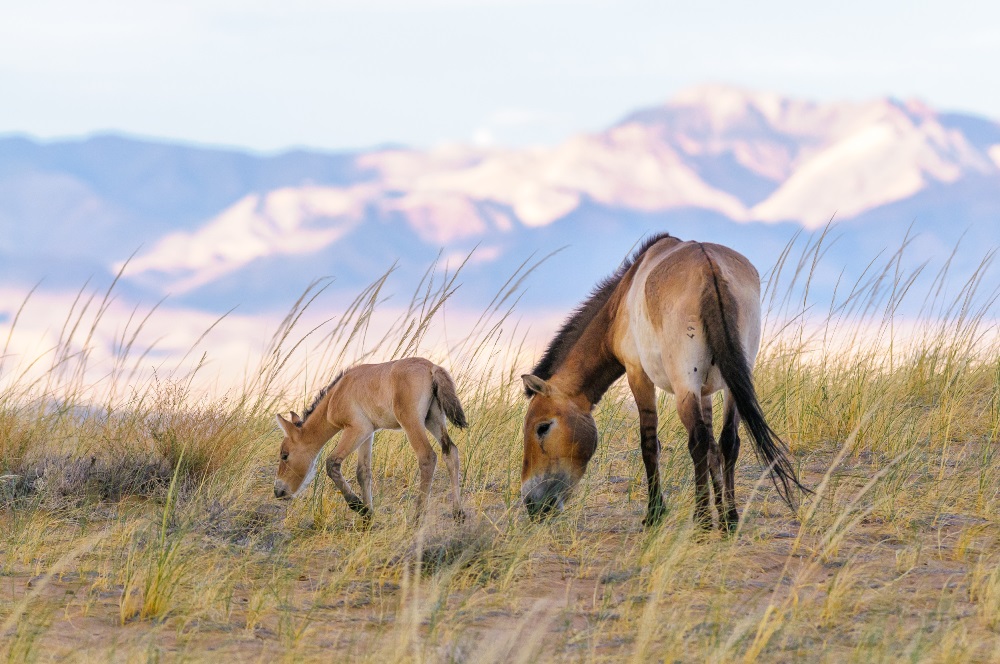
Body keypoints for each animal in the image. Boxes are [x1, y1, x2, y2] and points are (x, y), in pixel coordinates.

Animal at [270, 356, 464, 520]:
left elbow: (332, 463)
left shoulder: (357, 430)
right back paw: (458, 513)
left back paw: (417, 517)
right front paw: (367, 516)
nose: (278, 492)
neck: (337, 394)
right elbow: (363, 472)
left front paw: (358, 506)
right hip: (433, 419)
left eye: (284, 455)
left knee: (427, 457)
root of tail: (432, 367)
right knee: (450, 451)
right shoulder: (368, 433)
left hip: (411, 422)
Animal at [520, 231, 808, 532]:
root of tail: (709, 267)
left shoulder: (639, 375)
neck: (620, 304)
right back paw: (729, 518)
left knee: (698, 441)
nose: (531, 503)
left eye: (542, 427)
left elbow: (650, 445)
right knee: (728, 440)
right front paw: (720, 510)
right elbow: (714, 449)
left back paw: (702, 521)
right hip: (733, 385)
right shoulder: (705, 392)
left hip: (685, 386)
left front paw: (656, 513)